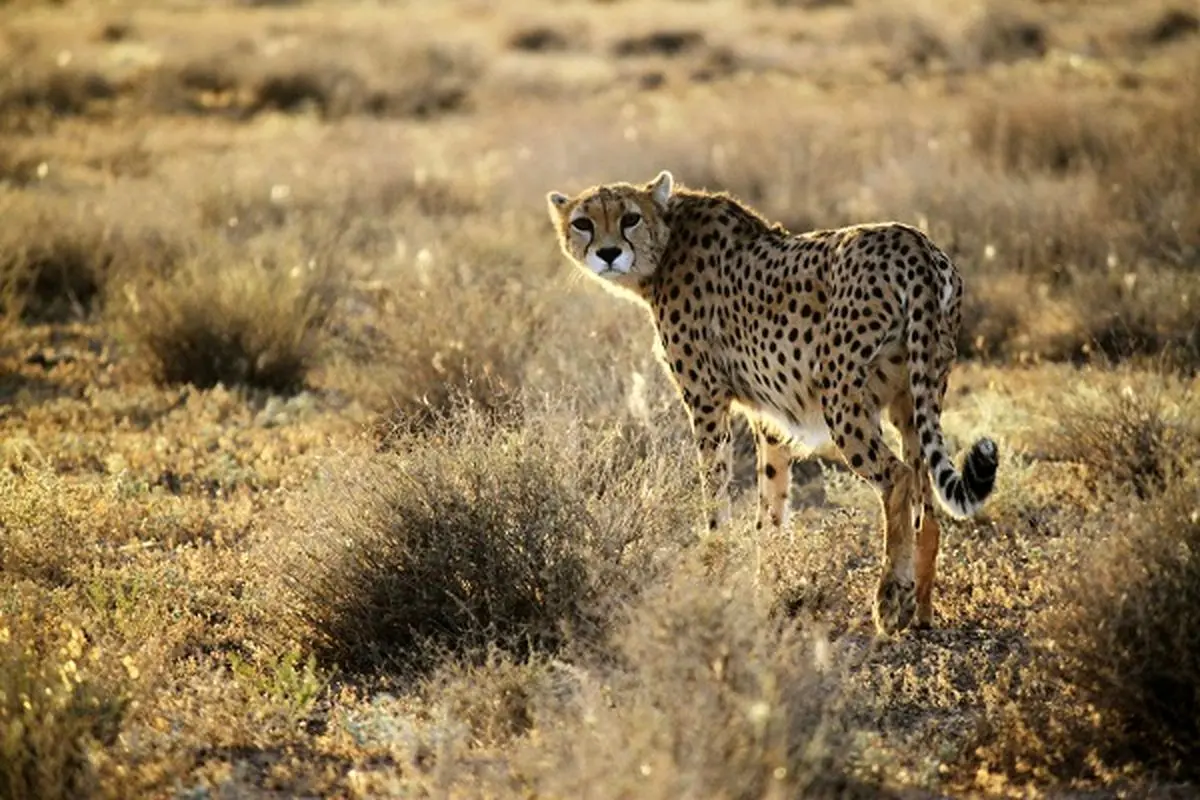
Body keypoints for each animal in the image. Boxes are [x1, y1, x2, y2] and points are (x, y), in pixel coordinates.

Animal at [549, 172, 998, 633]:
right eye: (583, 223)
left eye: (630, 217)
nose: (608, 253)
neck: (666, 242)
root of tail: (914, 241)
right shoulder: (769, 415)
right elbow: (772, 504)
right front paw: (765, 584)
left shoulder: (706, 399)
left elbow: (715, 491)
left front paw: (715, 569)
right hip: (914, 395)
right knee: (927, 501)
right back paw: (921, 608)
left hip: (841, 395)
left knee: (899, 477)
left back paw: (891, 600)